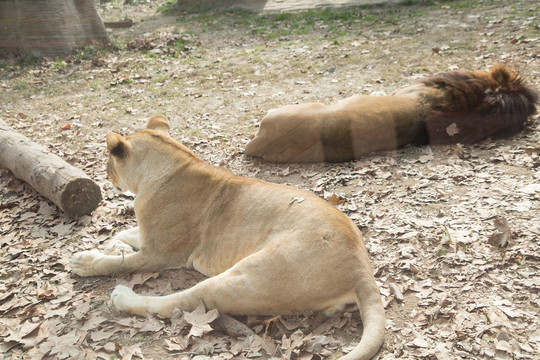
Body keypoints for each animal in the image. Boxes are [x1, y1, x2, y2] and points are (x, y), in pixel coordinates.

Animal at [69, 116, 386, 360]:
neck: (172, 163)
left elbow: (117, 264)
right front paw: (114, 244)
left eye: (108, 161)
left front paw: (85, 261)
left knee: (178, 302)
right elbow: (123, 234)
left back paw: (124, 297)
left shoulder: (159, 254)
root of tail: (362, 270)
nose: (105, 175)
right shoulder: (150, 238)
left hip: (249, 277)